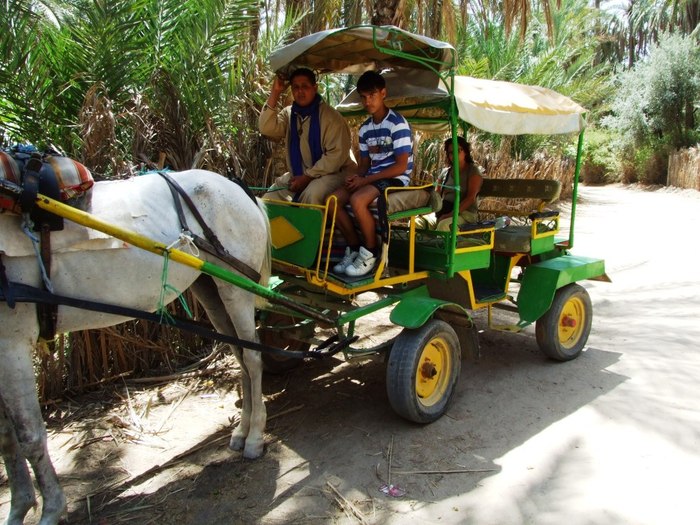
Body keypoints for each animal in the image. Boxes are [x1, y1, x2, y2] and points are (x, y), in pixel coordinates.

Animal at [0, 169, 270, 524]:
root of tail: (238, 187)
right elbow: (7, 439)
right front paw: (19, 507)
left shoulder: (12, 341)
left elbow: (28, 436)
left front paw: (51, 510)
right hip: (210, 286)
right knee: (240, 355)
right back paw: (242, 430)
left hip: (236, 287)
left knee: (252, 358)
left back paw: (255, 436)